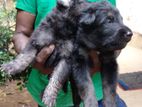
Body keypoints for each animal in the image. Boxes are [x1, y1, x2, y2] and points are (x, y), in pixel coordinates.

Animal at [0, 0, 133, 106]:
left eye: (121, 19)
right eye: (109, 20)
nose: (130, 34)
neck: (65, 28)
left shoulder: (68, 58)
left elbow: (58, 76)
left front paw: (50, 95)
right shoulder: (38, 38)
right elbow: (25, 55)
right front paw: (11, 67)